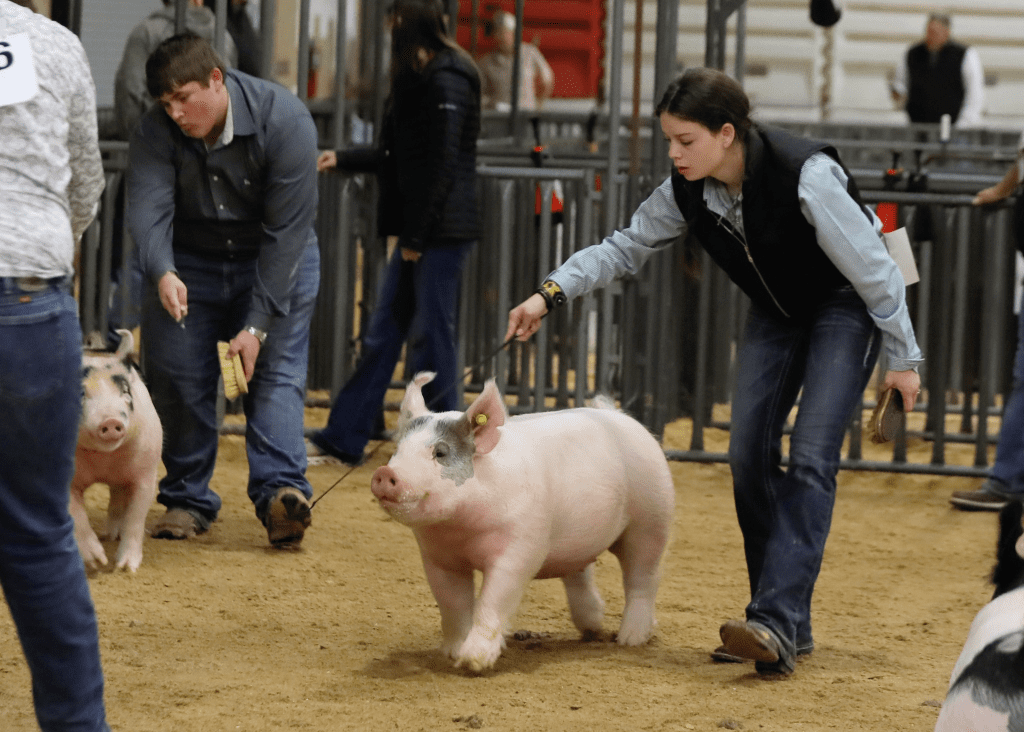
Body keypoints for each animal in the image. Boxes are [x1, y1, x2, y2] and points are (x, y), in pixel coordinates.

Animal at [70, 329, 162, 572]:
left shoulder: (147, 473)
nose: (111, 421)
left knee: (118, 498)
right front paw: (96, 562)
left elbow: (135, 518)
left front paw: (124, 568)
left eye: (125, 391)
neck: (105, 458)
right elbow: (78, 517)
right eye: (81, 393)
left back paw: (112, 535)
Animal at [370, 372, 675, 672]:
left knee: (643, 577)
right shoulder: (438, 558)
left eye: (440, 453)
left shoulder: (521, 547)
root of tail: (618, 415)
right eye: (397, 450)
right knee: (580, 573)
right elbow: (452, 604)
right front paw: (452, 654)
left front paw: (473, 662)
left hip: (651, 518)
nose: (384, 472)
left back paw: (630, 639)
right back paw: (592, 630)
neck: (461, 531)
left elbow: (492, 600)